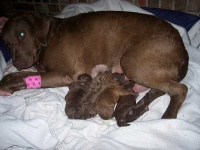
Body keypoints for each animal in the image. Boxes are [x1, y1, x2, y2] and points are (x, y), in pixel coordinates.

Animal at [0, 11, 189, 120]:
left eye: (22, 34)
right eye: (6, 43)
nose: (16, 63)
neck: (47, 36)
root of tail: (182, 48)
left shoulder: (61, 74)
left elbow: (18, 78)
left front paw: (6, 86)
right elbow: (17, 75)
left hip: (133, 64)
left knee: (180, 89)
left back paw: (167, 117)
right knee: (159, 91)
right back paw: (137, 109)